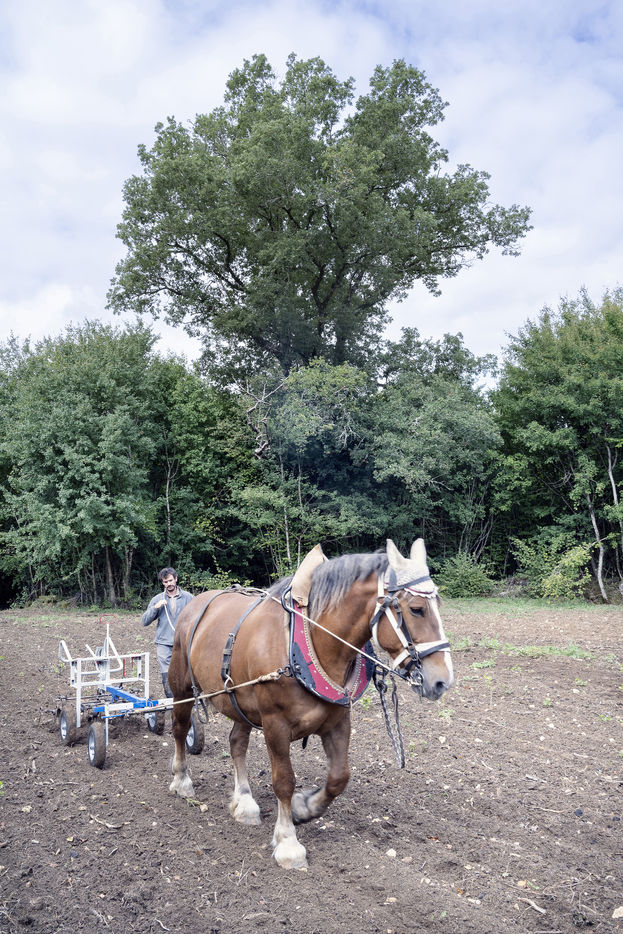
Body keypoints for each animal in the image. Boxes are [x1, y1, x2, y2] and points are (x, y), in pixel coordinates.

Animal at [167, 539, 454, 870]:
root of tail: (195, 602)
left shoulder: (338, 722)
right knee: (180, 728)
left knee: (237, 742)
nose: (442, 681)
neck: (313, 640)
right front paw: (288, 842)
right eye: (417, 609)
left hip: (241, 701)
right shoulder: (275, 725)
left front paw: (304, 808)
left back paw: (245, 802)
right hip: (181, 686)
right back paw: (182, 780)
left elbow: (339, 777)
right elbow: (284, 781)